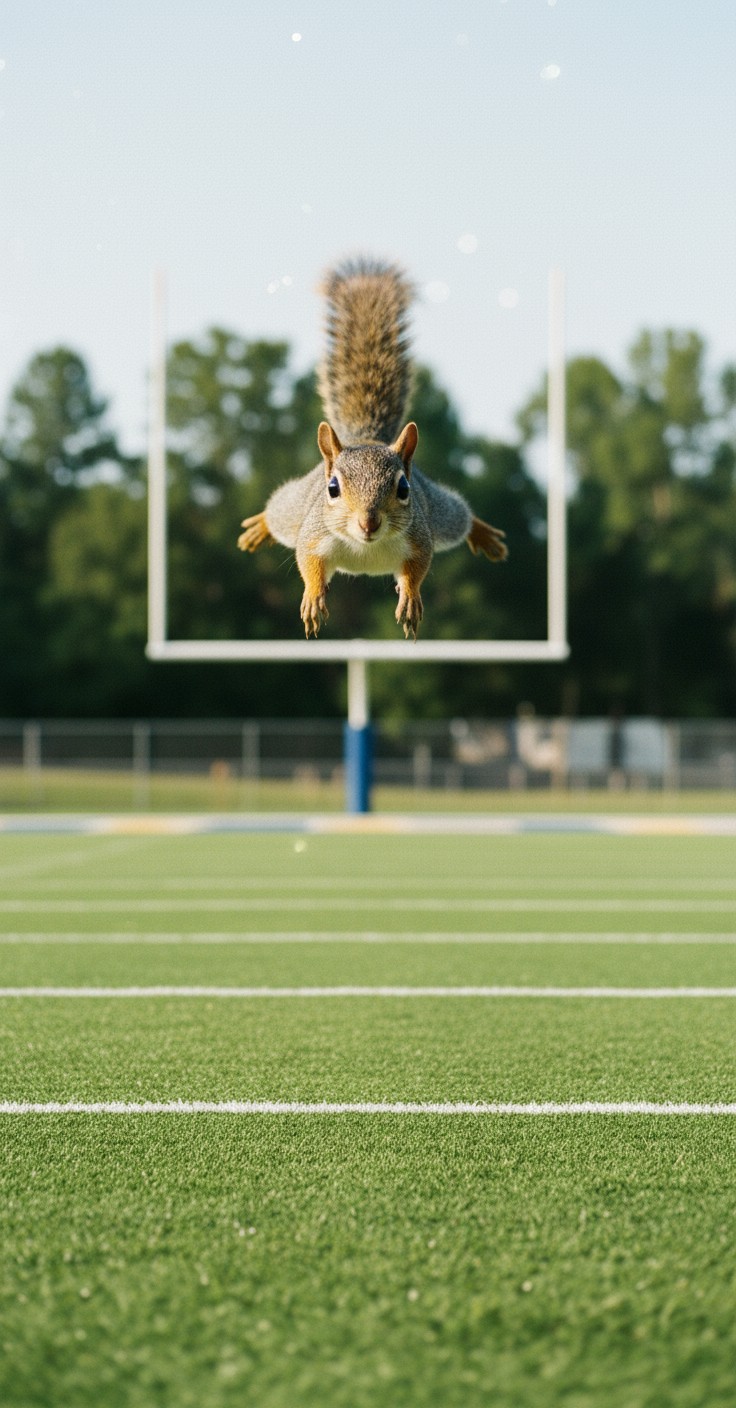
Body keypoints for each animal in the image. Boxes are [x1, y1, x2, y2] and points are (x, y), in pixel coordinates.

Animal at [238, 258, 507, 639]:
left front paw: (410, 601)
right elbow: (309, 563)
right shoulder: (314, 535)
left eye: (403, 488)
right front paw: (313, 599)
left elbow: (416, 570)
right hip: (293, 510)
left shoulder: (419, 539)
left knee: (458, 516)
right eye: (332, 488)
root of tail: (365, 437)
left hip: (441, 515)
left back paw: (483, 534)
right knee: (279, 511)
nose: (369, 522)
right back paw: (259, 528)